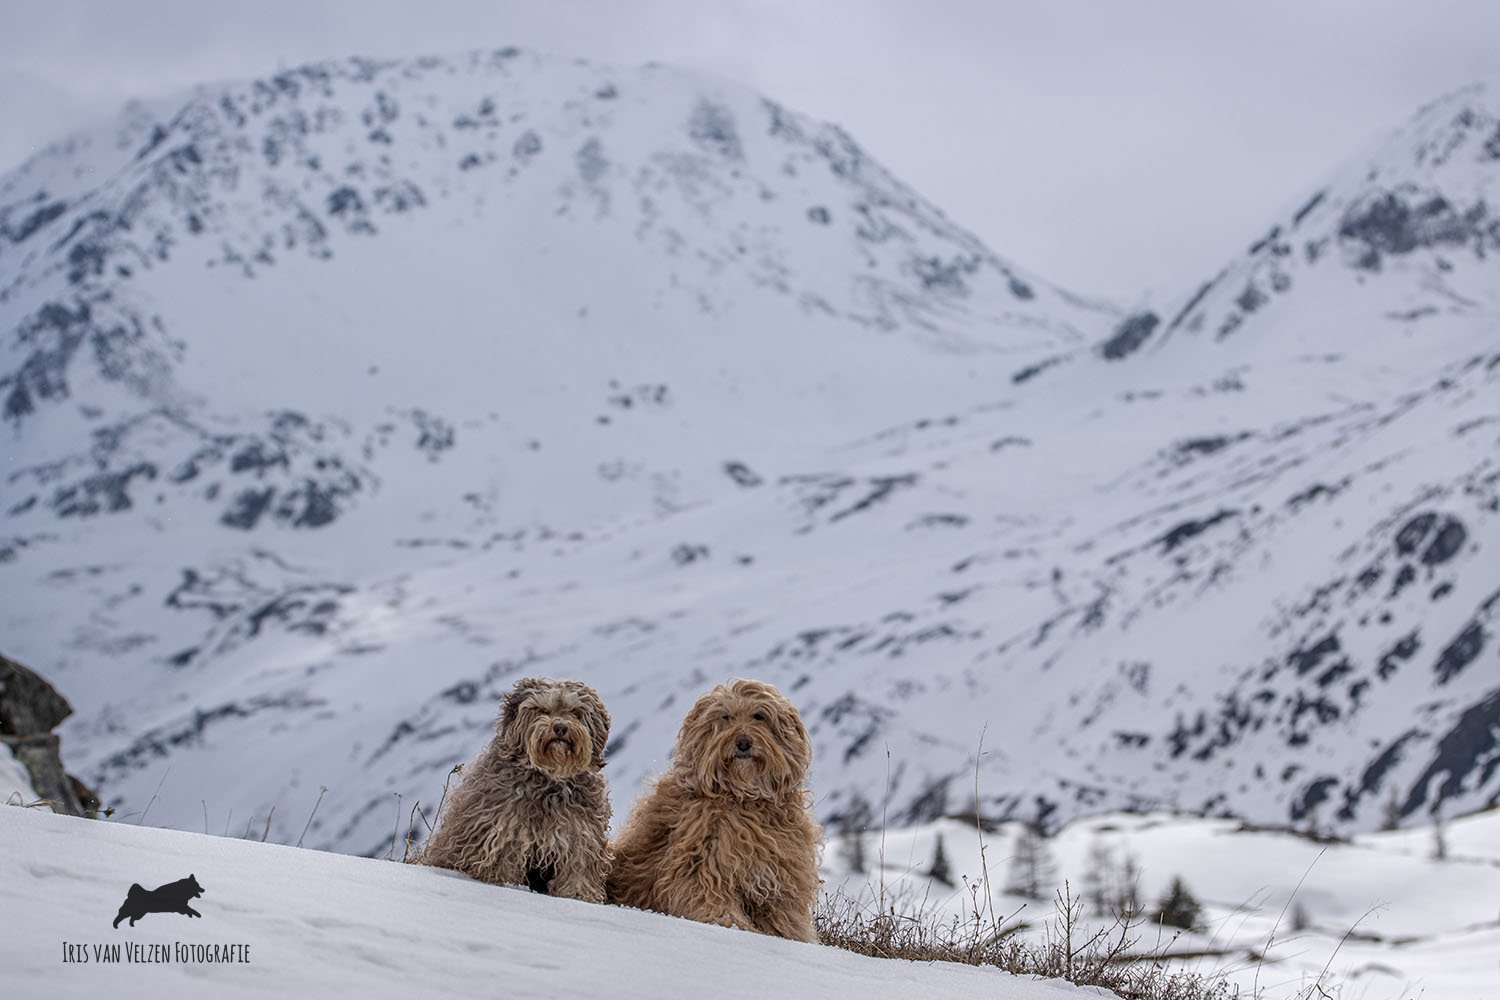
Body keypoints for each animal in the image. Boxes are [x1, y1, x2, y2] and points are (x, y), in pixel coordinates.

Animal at [420, 677, 612, 905]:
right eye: (541, 710)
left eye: (575, 711)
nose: (560, 727)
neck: (550, 780)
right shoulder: (504, 828)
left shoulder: (582, 833)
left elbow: (578, 866)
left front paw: (577, 895)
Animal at [606, 677, 822, 941]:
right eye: (726, 716)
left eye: (759, 716)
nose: (743, 743)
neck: (743, 797)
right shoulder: (704, 858)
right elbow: (709, 896)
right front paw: (731, 924)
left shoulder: (780, 872)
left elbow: (783, 914)